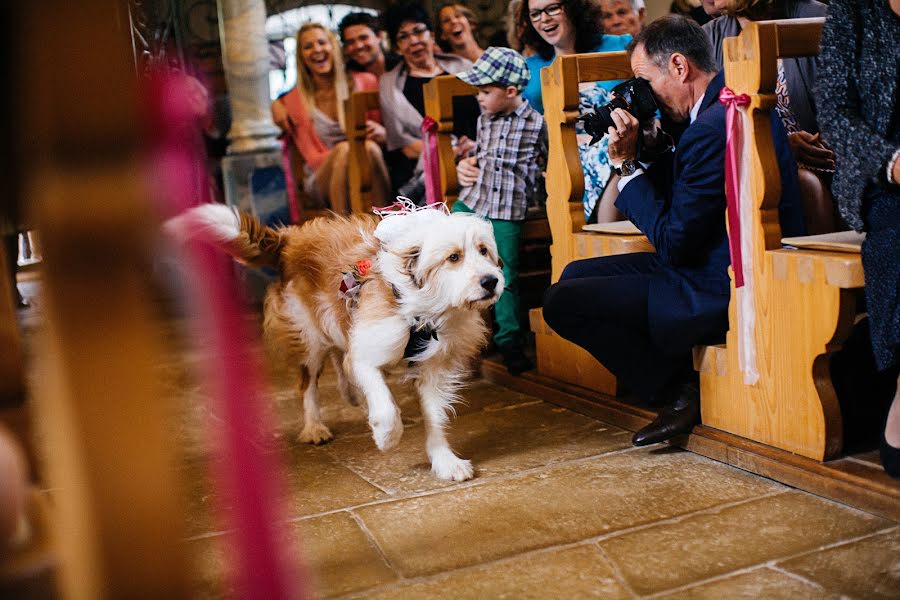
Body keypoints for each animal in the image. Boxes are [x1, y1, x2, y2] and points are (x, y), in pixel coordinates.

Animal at [167, 204, 506, 480]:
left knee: (338, 355)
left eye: (484, 251)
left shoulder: (434, 366)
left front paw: (445, 461)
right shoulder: (368, 352)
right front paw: (387, 435)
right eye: (453, 258)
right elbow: (385, 406)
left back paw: (352, 393)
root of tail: (289, 241)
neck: (425, 303)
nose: (491, 281)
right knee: (309, 383)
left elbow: (435, 416)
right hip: (309, 336)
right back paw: (315, 426)